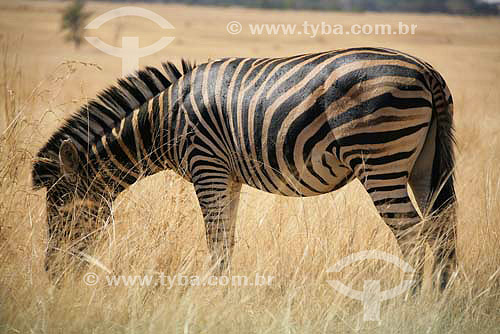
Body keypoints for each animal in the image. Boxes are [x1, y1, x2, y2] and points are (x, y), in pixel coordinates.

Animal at [32, 47, 458, 290]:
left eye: (60, 213)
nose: (50, 274)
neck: (163, 122)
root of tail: (425, 70)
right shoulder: (228, 175)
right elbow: (227, 240)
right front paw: (226, 292)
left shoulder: (207, 166)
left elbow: (216, 240)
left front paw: (214, 295)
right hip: (424, 163)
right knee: (442, 228)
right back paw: (440, 299)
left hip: (379, 157)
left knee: (414, 235)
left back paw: (410, 300)